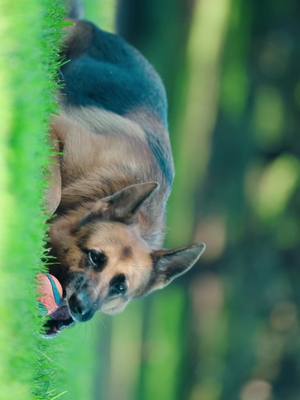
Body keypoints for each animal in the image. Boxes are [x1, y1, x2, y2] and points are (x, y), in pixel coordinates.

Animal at [45, 7, 206, 338]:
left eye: (120, 288)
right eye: (95, 257)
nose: (81, 310)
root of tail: (101, 29)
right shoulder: (57, 126)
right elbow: (53, 195)